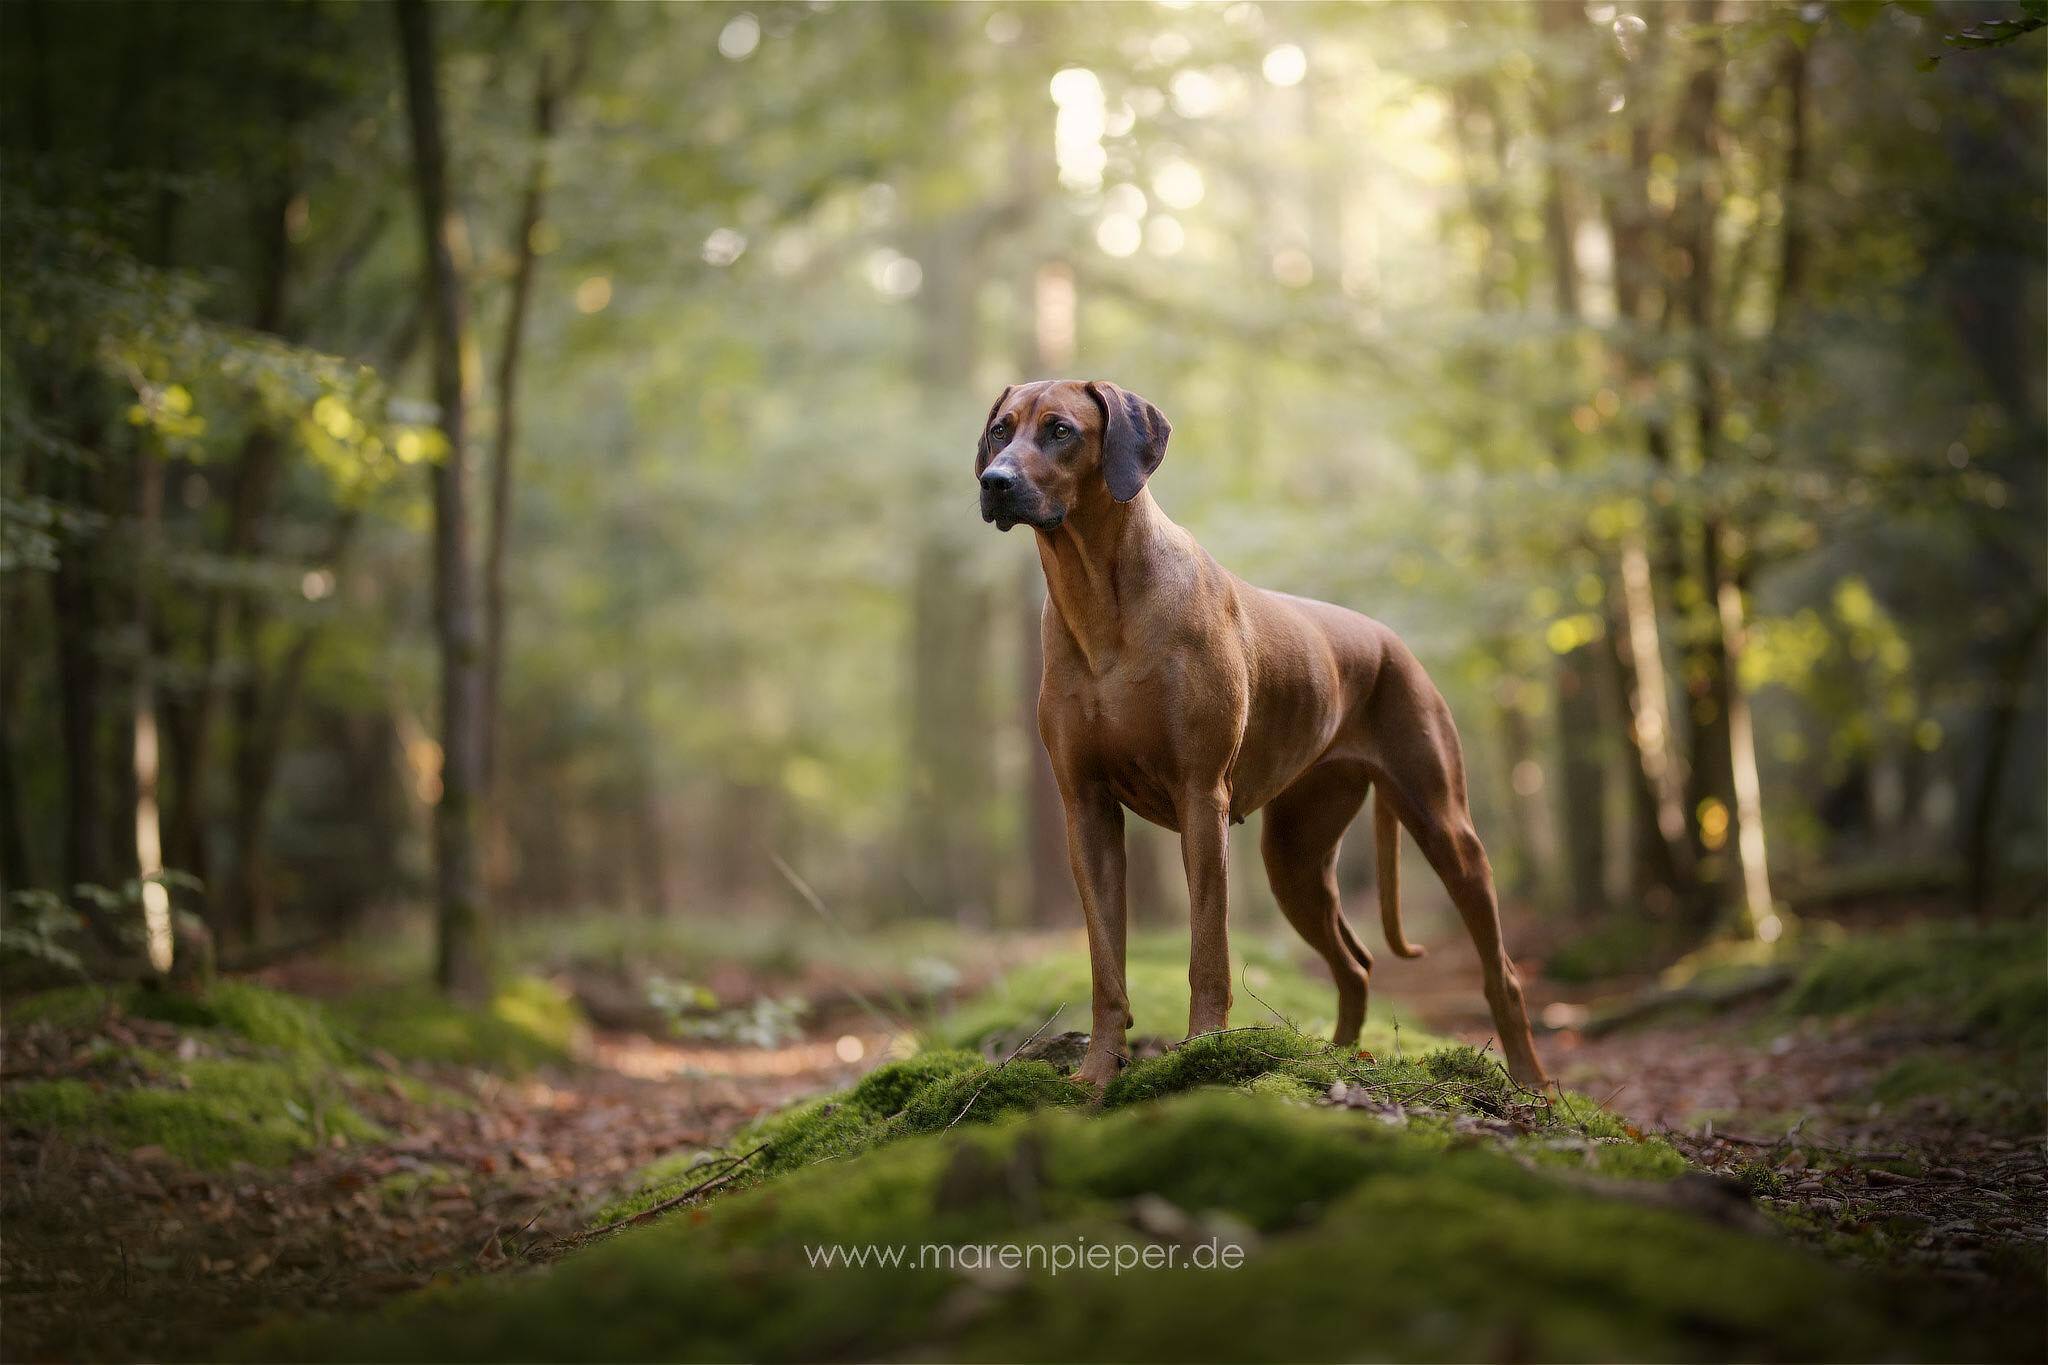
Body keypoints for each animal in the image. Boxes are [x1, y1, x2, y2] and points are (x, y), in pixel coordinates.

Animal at [978, 378, 1548, 1096]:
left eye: (1060, 430)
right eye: (1000, 430)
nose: (993, 482)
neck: (1099, 598)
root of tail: (1389, 640)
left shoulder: (1202, 799)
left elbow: (1209, 952)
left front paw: (1201, 1055)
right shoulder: (1086, 808)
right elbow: (1106, 964)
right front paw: (1096, 1074)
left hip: (1445, 825)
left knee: (1502, 972)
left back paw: (1530, 1079)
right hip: (1295, 854)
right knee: (1356, 963)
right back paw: (1340, 1059)